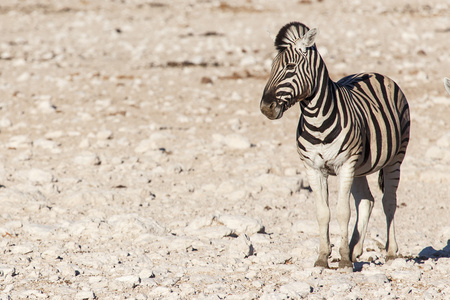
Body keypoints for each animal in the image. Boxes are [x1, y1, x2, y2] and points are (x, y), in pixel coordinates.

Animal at [260, 22, 412, 268]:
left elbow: (343, 211)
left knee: (388, 201)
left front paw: (344, 260)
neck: (317, 121)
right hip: (360, 167)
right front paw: (324, 257)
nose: (266, 107)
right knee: (367, 201)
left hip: (395, 158)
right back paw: (355, 248)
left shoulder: (345, 165)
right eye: (271, 67)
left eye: (290, 67)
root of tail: (375, 73)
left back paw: (390, 252)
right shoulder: (313, 168)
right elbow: (323, 212)